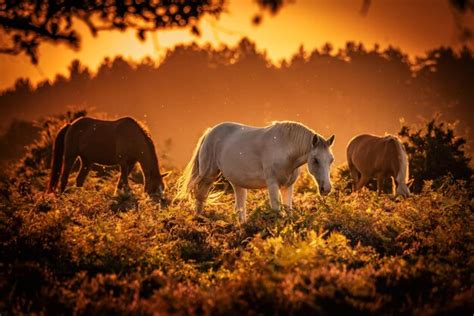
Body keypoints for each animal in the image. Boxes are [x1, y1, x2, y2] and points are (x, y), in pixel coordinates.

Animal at [176, 121, 336, 222]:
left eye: (331, 160)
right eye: (315, 160)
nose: (327, 188)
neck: (284, 147)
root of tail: (210, 132)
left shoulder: (287, 186)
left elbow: (288, 210)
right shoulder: (272, 184)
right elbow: (276, 209)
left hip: (237, 184)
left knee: (239, 208)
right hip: (208, 176)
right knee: (201, 197)